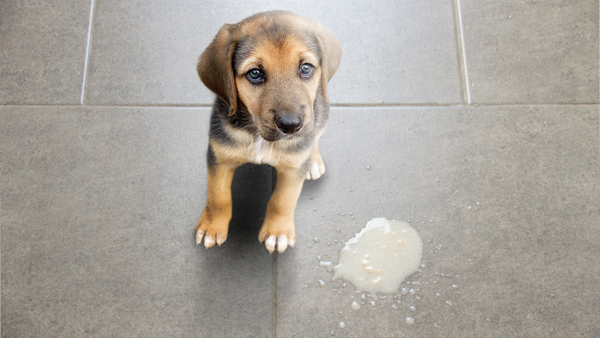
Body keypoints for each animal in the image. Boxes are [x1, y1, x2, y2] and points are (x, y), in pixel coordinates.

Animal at [193, 10, 340, 254]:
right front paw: (212, 226)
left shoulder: (293, 169)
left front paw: (278, 232)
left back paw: (313, 161)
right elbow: (217, 196)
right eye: (255, 73)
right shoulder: (219, 157)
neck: (258, 135)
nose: (291, 125)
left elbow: (283, 200)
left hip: (322, 114)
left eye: (306, 68)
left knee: (315, 136)